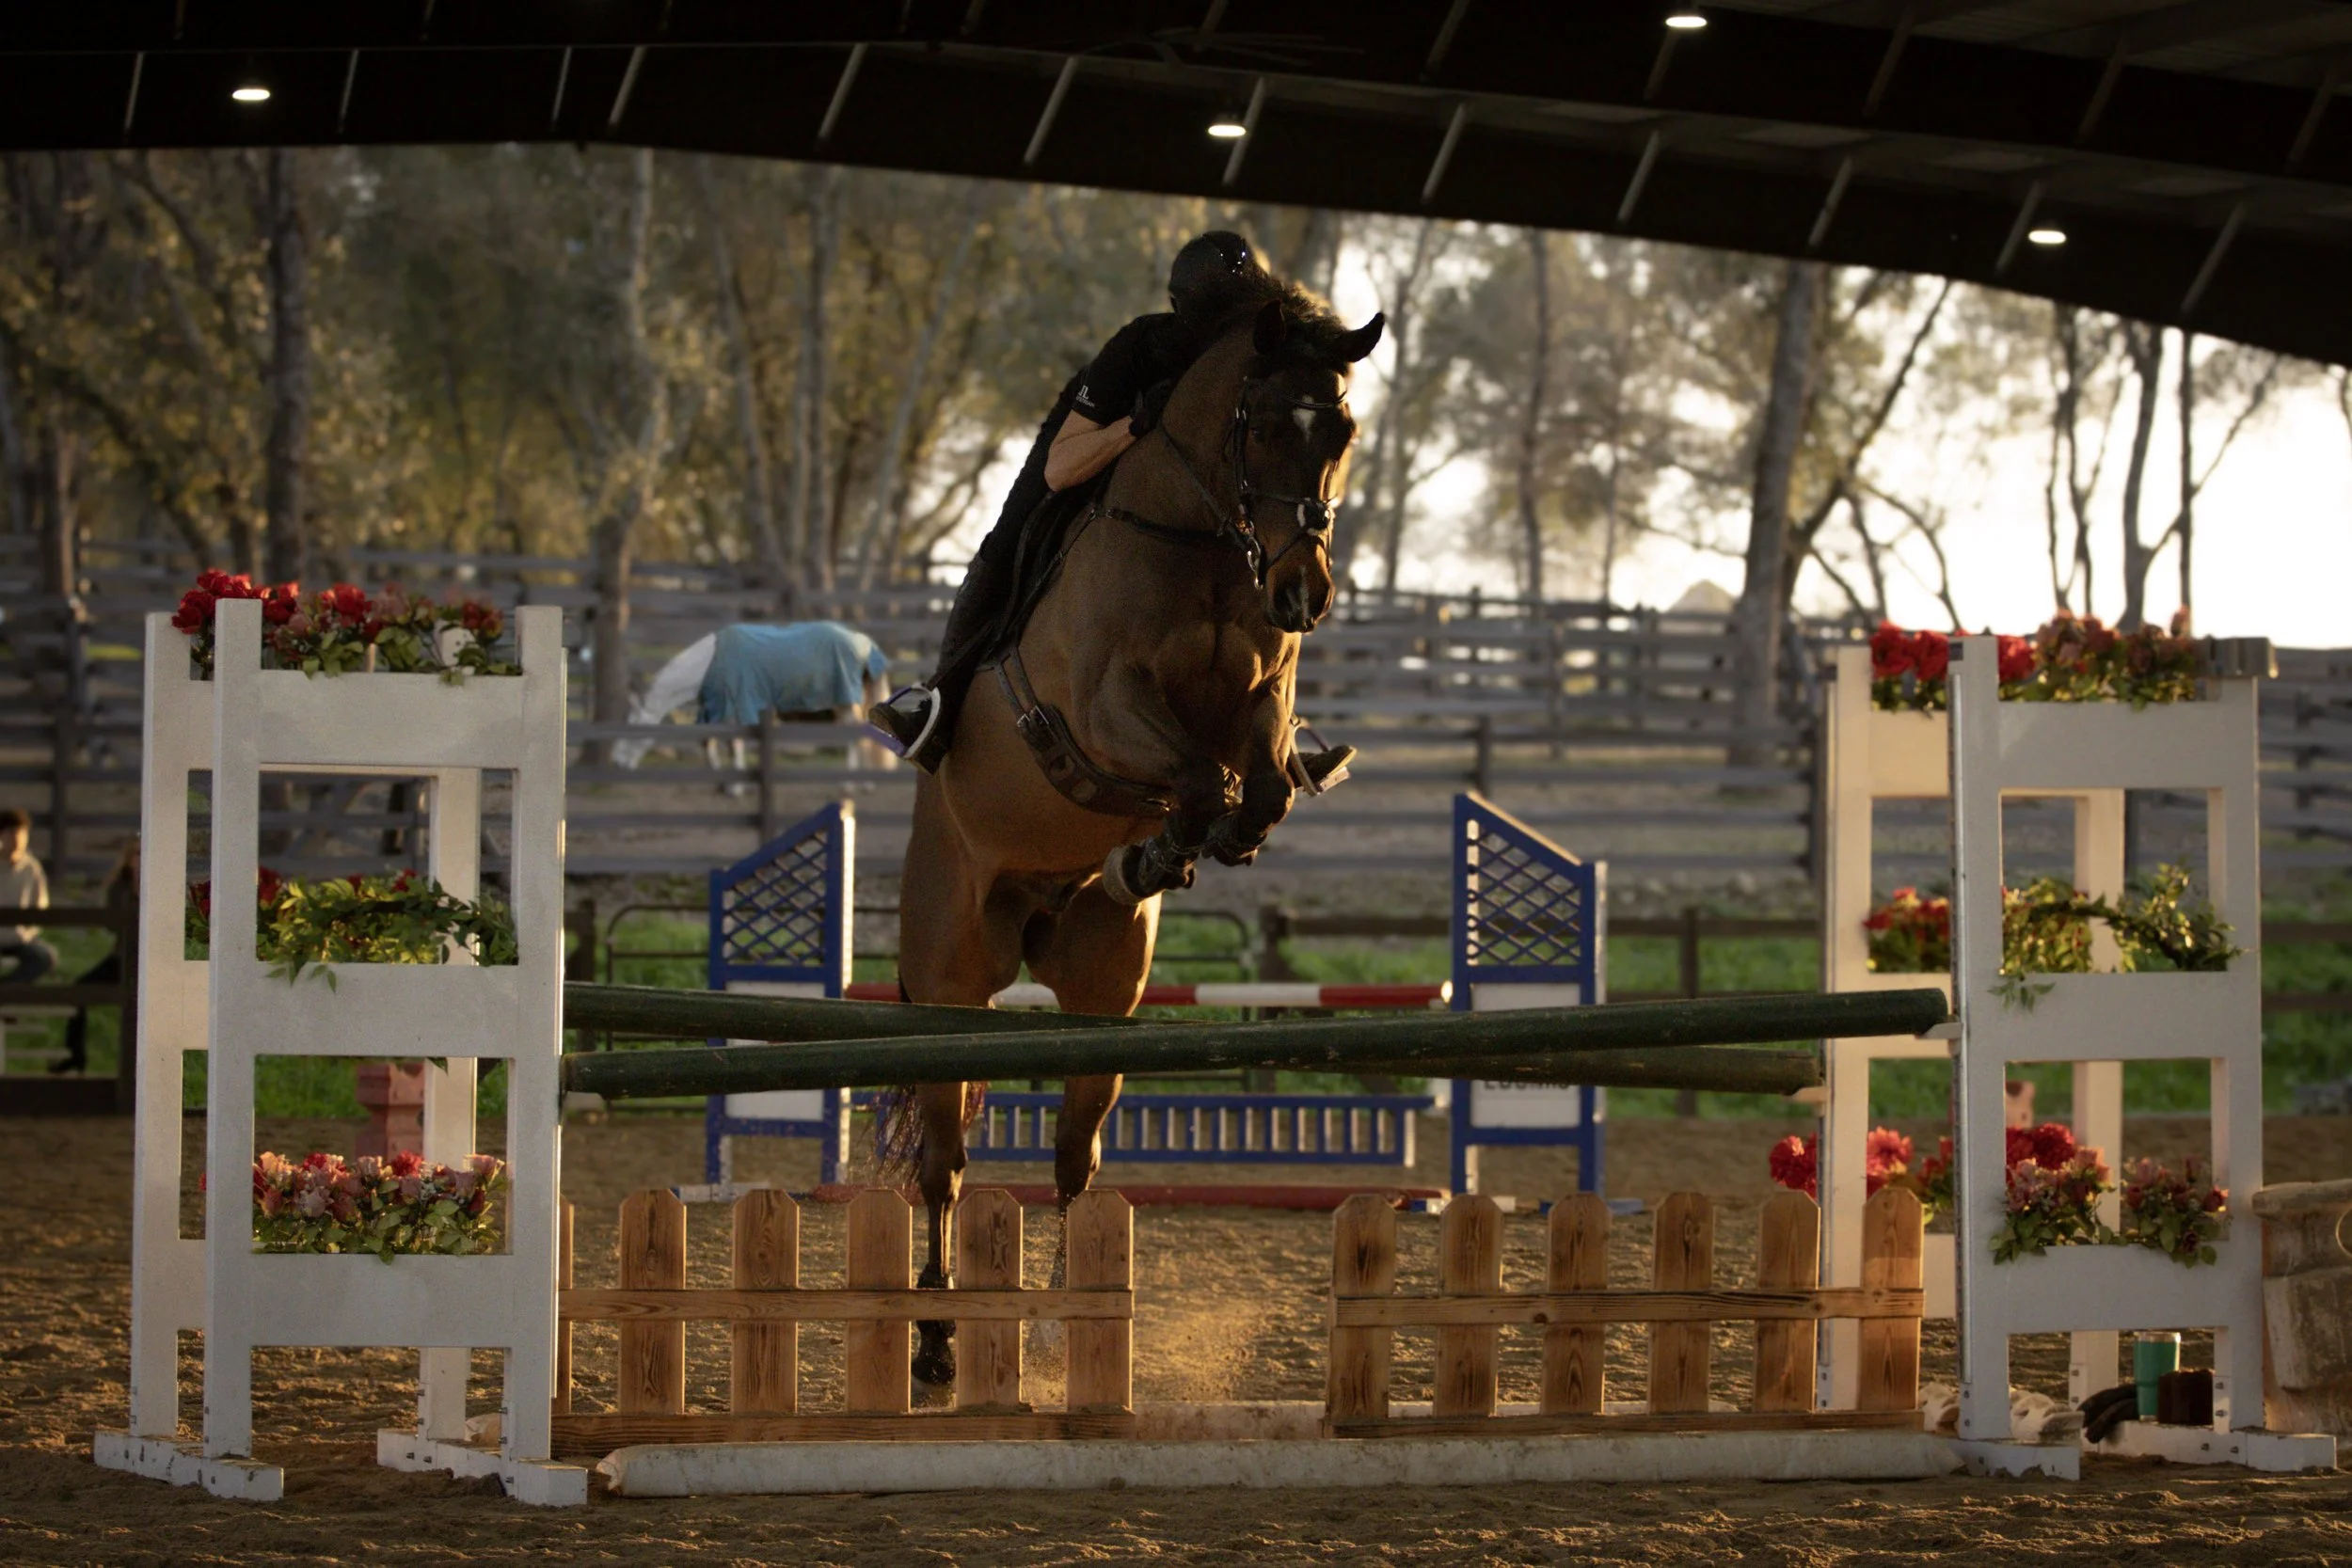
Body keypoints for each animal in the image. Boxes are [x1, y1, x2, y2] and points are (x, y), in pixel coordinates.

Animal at [614, 620, 899, 779]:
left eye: (634, 730)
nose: (618, 764)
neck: (710, 664)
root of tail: (864, 644)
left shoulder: (737, 708)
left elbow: (735, 745)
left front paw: (735, 786)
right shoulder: (715, 710)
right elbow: (707, 741)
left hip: (845, 704)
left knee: (856, 739)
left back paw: (852, 783)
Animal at [889, 283, 1382, 1398]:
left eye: (1340, 433)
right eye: (1263, 425)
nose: (1306, 593)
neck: (1203, 543)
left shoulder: (1259, 702)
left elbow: (1257, 787)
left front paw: (1169, 852)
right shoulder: (1104, 706)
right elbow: (1197, 778)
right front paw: (1165, 843)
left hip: (1100, 1000)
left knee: (1075, 1158)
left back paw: (1065, 1319)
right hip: (949, 979)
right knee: (943, 1162)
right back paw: (935, 1340)